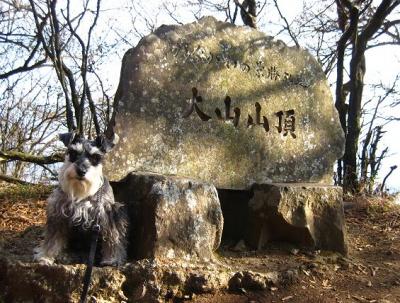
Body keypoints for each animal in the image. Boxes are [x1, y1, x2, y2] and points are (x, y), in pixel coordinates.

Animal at [35, 132, 127, 266]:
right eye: (73, 153)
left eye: (95, 157)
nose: (81, 171)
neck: (82, 194)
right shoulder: (58, 213)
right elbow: (52, 239)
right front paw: (46, 256)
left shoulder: (109, 214)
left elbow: (112, 237)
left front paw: (112, 259)